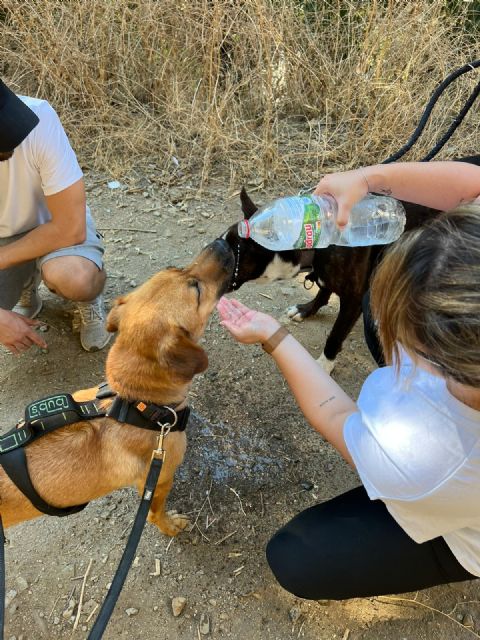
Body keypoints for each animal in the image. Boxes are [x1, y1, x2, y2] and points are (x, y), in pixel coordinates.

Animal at [0, 240, 233, 536]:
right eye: (197, 290)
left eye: (175, 268)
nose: (221, 243)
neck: (137, 404)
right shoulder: (157, 481)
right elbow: (155, 514)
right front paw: (171, 526)